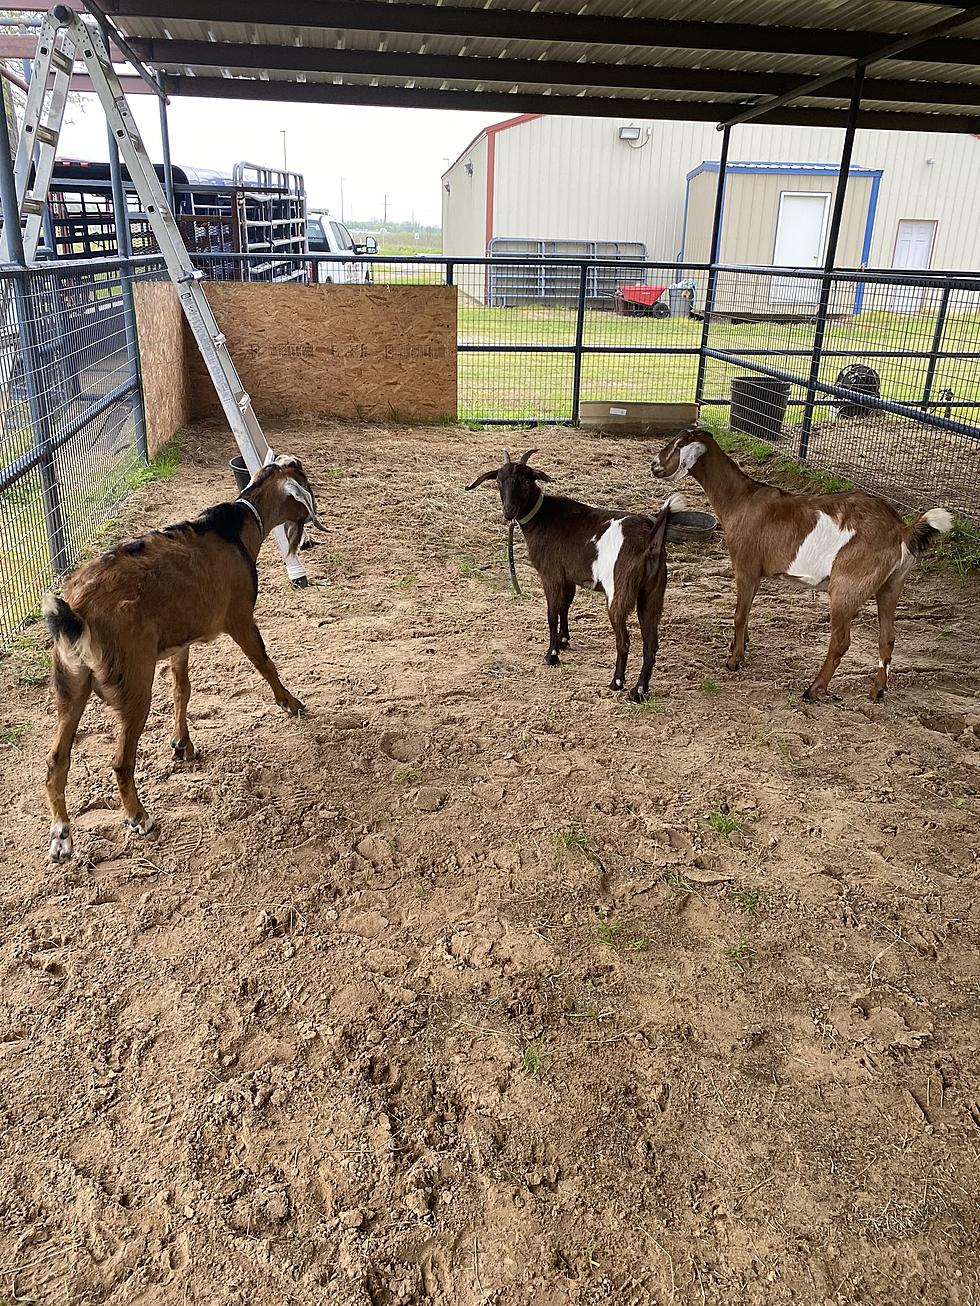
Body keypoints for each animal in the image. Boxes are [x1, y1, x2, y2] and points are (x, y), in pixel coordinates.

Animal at [42, 454, 320, 861]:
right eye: (305, 485)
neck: (236, 527)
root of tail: (76, 612)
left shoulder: (181, 642)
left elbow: (182, 690)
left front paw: (182, 744)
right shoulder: (239, 618)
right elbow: (264, 661)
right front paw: (291, 702)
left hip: (70, 682)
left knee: (56, 759)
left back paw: (61, 834)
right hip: (133, 681)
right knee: (121, 760)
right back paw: (138, 818)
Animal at [467, 449, 689, 700]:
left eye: (525, 480)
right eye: (498, 481)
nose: (509, 512)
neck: (542, 516)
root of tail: (650, 540)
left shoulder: (551, 575)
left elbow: (552, 614)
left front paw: (552, 655)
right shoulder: (568, 577)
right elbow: (565, 607)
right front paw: (564, 641)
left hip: (618, 592)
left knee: (624, 641)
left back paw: (617, 683)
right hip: (652, 594)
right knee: (650, 645)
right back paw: (638, 691)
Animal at [653, 428, 951, 700]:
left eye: (677, 445)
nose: (654, 465)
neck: (741, 500)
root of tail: (901, 530)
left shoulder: (746, 567)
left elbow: (739, 615)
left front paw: (734, 661)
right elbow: (747, 613)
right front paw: (740, 647)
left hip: (847, 586)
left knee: (841, 641)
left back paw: (814, 689)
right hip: (891, 584)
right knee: (887, 636)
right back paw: (877, 690)